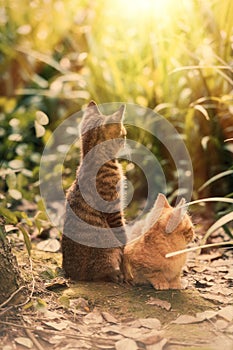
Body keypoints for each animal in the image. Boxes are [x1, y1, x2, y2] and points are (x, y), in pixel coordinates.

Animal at [62, 100, 126, 282]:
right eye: (124, 134)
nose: (127, 139)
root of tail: (73, 274)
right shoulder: (114, 209)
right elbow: (123, 233)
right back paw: (116, 274)